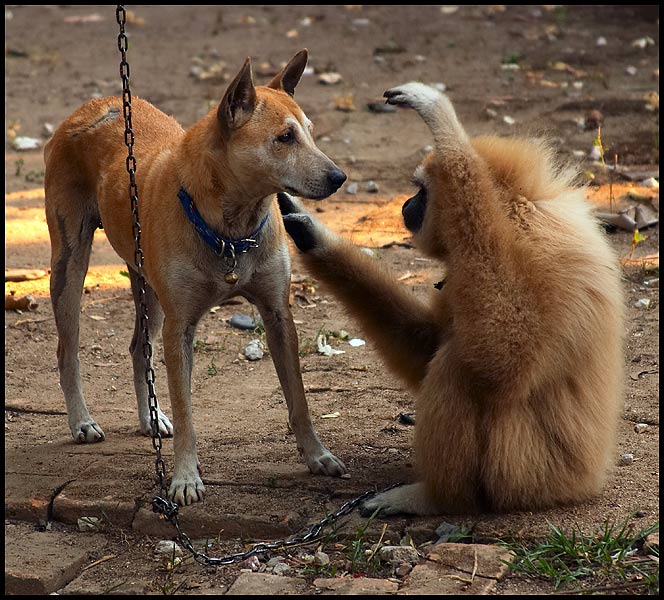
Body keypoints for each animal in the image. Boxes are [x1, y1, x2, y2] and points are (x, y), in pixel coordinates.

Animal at [45, 49, 348, 504]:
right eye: (284, 138)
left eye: (310, 133)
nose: (338, 177)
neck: (232, 230)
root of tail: (92, 107)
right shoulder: (180, 327)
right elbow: (187, 411)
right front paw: (185, 478)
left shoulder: (279, 316)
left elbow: (298, 399)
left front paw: (317, 455)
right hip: (70, 265)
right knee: (68, 351)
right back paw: (81, 421)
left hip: (148, 288)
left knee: (138, 349)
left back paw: (150, 418)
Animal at [278, 81, 624, 516]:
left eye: (421, 192)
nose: (407, 204)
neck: (514, 213)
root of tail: (586, 481)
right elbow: (427, 343)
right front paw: (312, 234)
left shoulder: (539, 250)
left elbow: (503, 358)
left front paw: (445, 129)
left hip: (528, 474)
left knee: (458, 365)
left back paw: (434, 498)